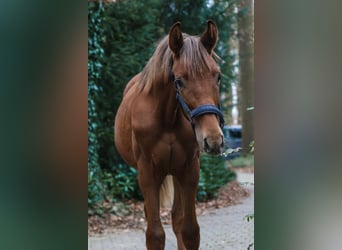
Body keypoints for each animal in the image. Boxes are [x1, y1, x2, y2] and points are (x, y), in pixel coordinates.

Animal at [115, 20, 224, 249]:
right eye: (180, 81)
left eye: (217, 76)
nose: (213, 140)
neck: (167, 120)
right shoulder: (147, 172)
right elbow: (155, 235)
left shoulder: (189, 169)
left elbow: (189, 231)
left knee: (177, 218)